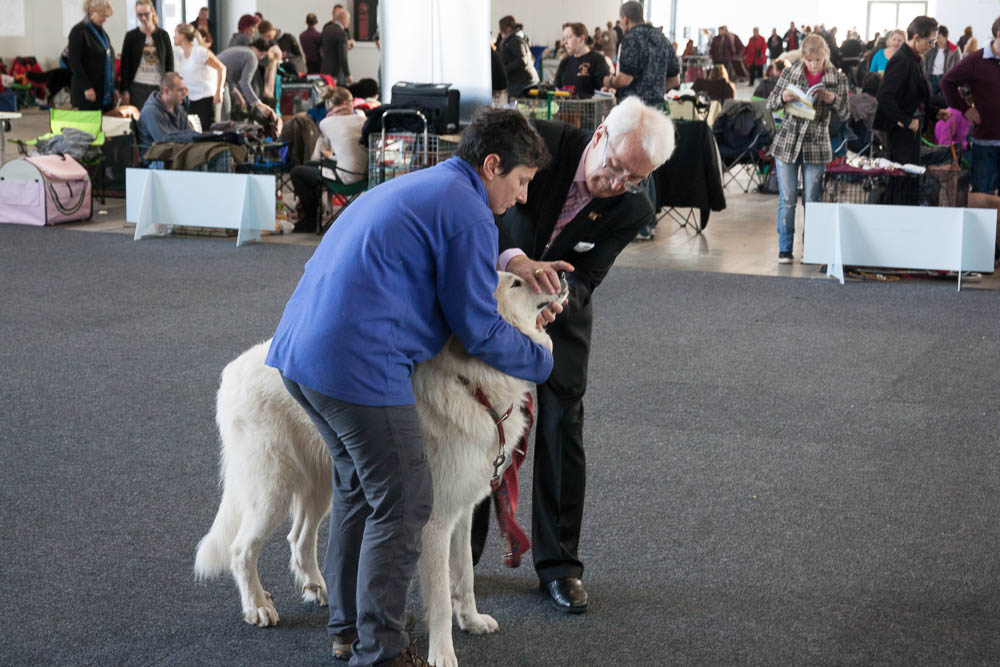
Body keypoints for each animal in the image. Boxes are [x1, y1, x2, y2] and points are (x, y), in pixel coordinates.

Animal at [195, 272, 568, 667]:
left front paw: (472, 620)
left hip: (327, 485)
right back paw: (258, 606)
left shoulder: (463, 512)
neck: (471, 386)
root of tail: (233, 370)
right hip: (272, 490)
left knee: (299, 538)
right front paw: (442, 653)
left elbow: (464, 573)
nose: (562, 274)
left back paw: (320, 590)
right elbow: (440, 597)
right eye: (516, 283)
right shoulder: (434, 522)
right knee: (240, 550)